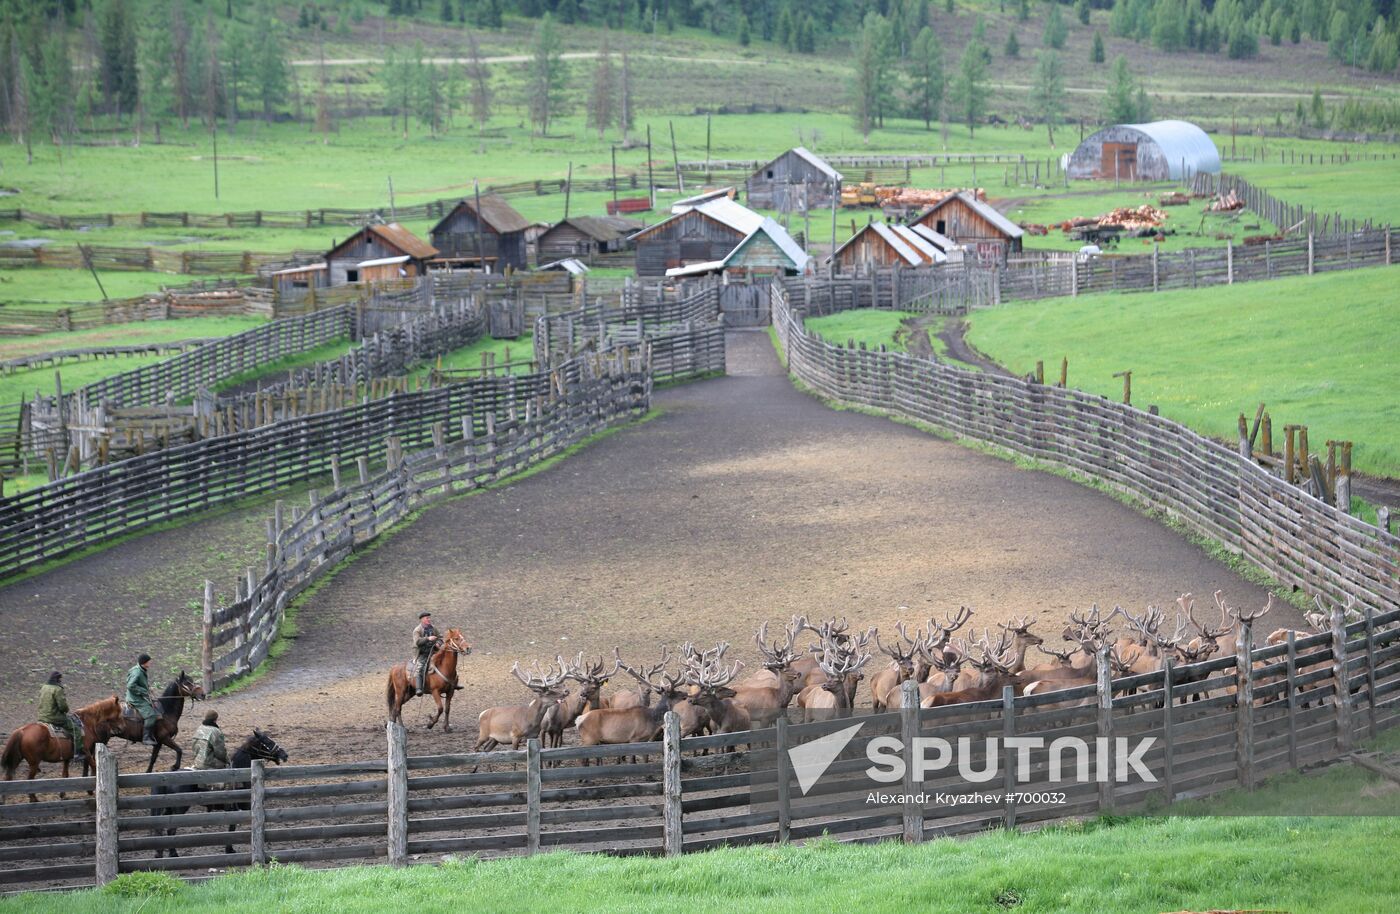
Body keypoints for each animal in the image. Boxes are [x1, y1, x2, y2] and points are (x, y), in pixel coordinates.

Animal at [151, 727, 287, 856]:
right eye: (267, 741)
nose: (284, 754)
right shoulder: (242, 807)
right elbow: (234, 827)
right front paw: (230, 849)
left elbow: (232, 827)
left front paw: (229, 848)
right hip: (179, 810)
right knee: (171, 830)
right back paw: (173, 853)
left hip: (169, 809)